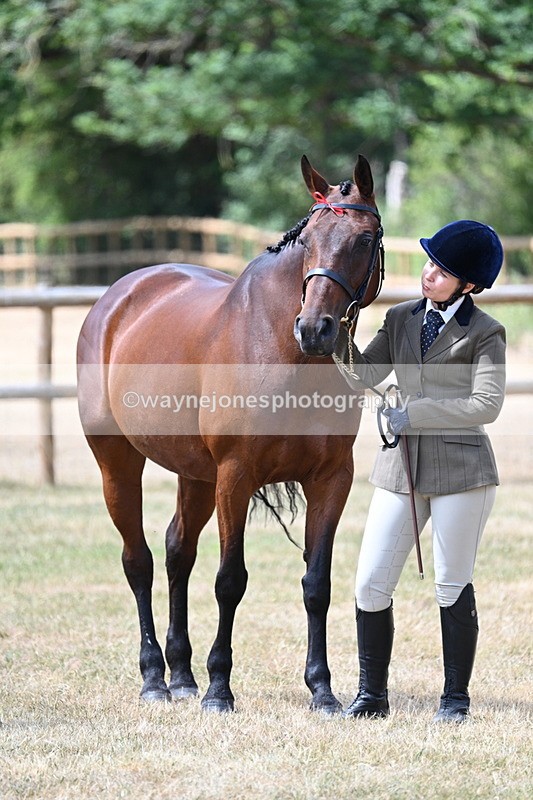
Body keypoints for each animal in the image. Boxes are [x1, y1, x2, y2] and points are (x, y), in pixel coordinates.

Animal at [76, 154, 384, 713]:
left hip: (195, 476)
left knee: (177, 551)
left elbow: (317, 583)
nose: (315, 329)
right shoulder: (235, 477)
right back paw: (154, 679)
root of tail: (116, 298)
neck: (282, 351)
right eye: (308, 240)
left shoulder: (332, 479)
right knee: (139, 561)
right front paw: (220, 688)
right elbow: (230, 581)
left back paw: (181, 674)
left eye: (365, 239)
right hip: (119, 464)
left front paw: (322, 689)